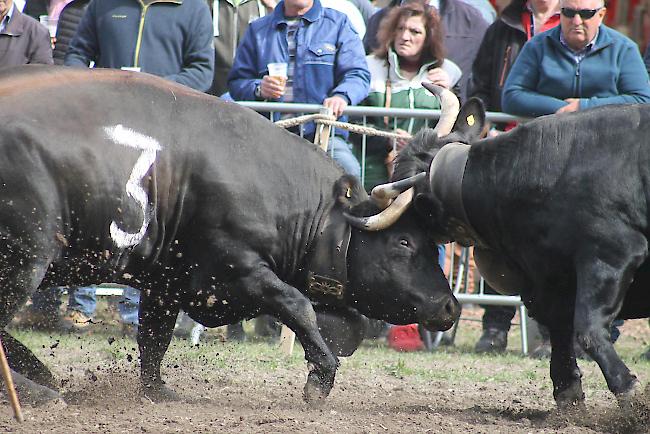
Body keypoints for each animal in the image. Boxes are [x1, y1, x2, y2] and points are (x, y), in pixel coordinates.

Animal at [360, 85, 648, 414]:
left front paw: (629, 391)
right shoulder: (549, 281)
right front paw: (568, 392)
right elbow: (561, 330)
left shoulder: (611, 255)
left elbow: (588, 329)